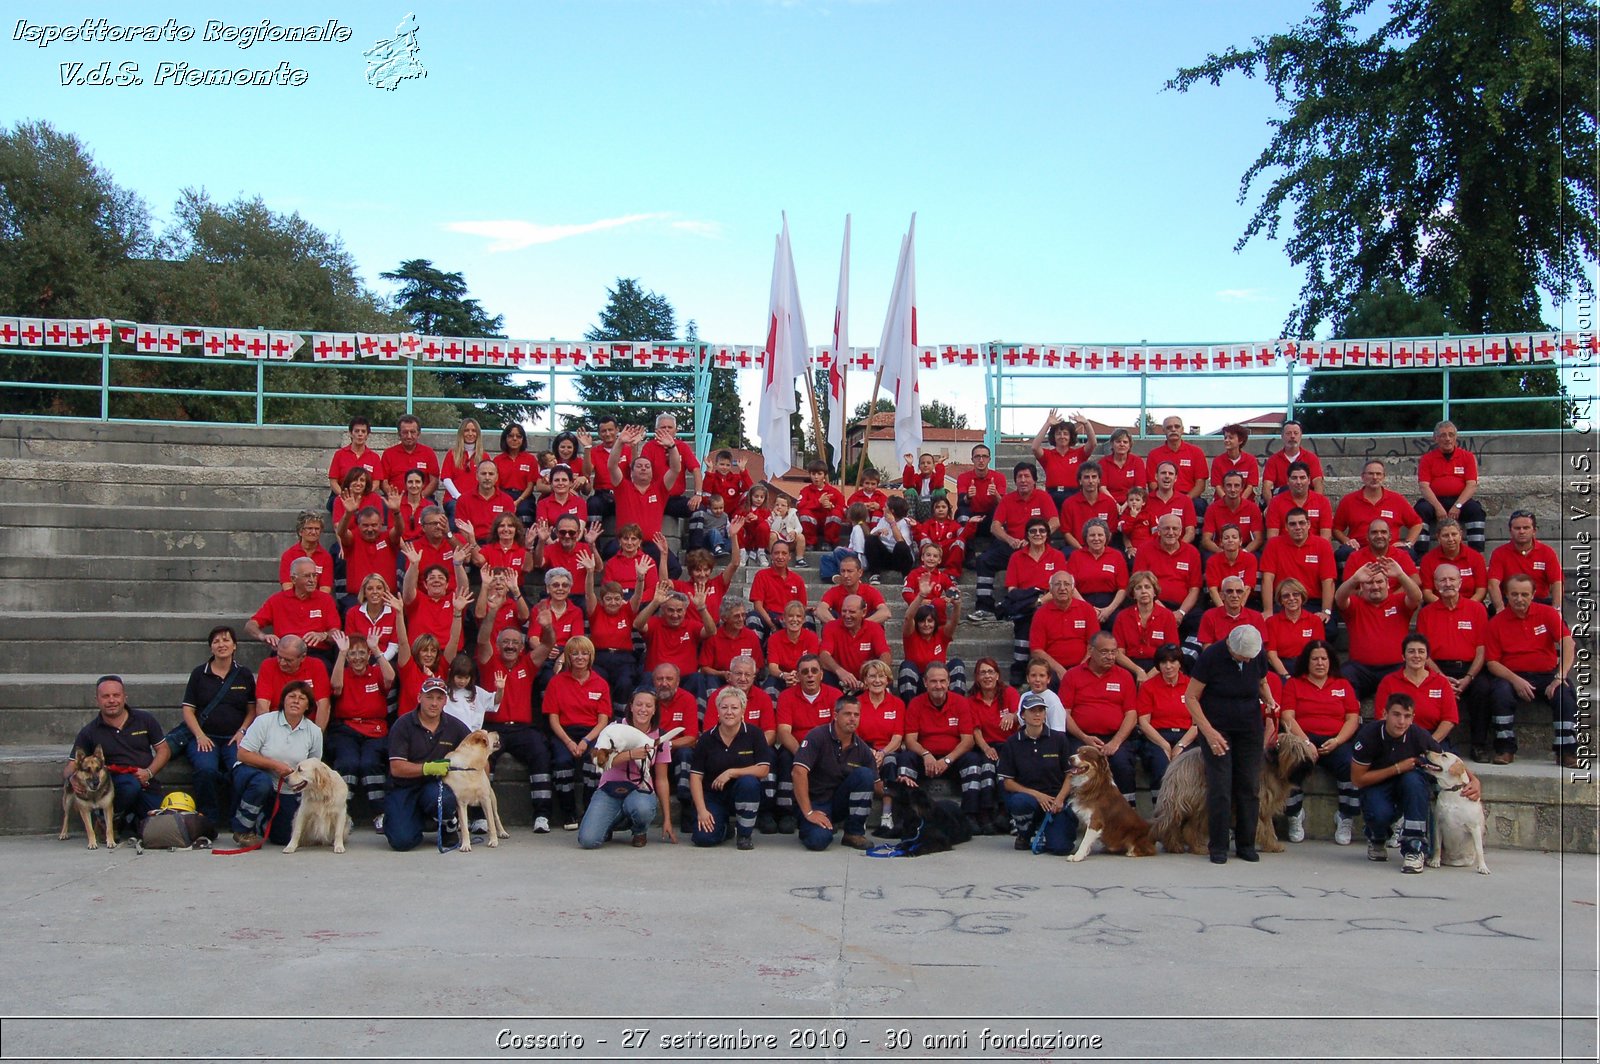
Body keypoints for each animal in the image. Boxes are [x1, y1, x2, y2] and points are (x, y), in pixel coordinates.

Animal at [1158, 729, 1318, 857]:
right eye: (1293, 750)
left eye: (1303, 748)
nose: (1308, 764)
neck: (1272, 766)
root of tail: (1173, 768)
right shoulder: (1259, 803)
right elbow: (1262, 826)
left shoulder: (1266, 808)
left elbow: (1268, 826)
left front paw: (1272, 845)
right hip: (1199, 801)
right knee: (1188, 828)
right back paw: (1194, 847)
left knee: (1179, 826)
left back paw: (1177, 846)